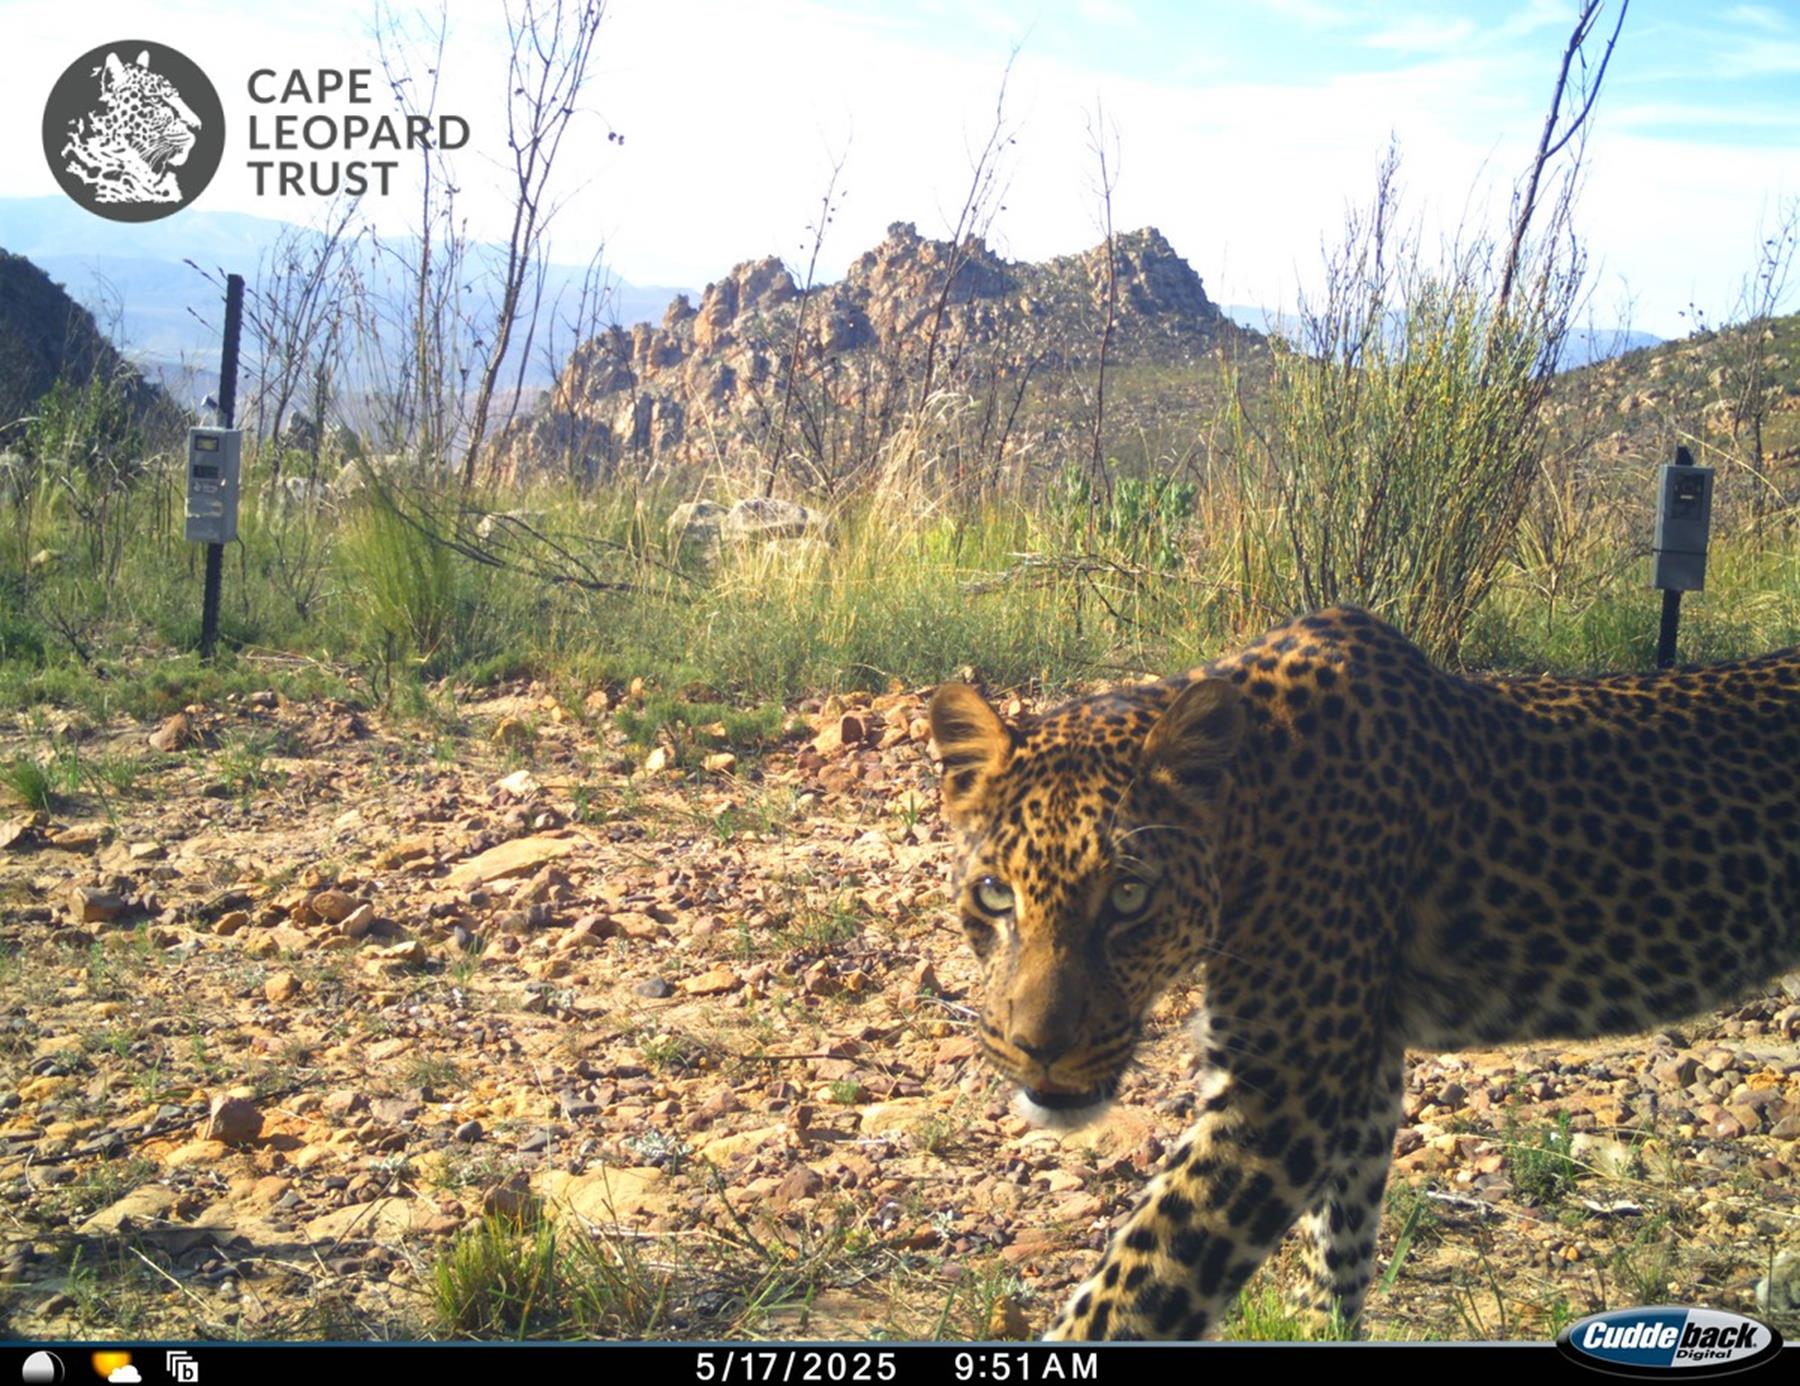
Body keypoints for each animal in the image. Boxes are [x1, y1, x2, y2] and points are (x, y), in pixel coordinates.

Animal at [928, 606, 1800, 1341]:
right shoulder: (1366, 1067)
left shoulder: (1285, 1088)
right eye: (996, 894)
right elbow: (1338, 1247)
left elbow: (1137, 1290)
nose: (1037, 1047)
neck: (1256, 802)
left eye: (1130, 897)